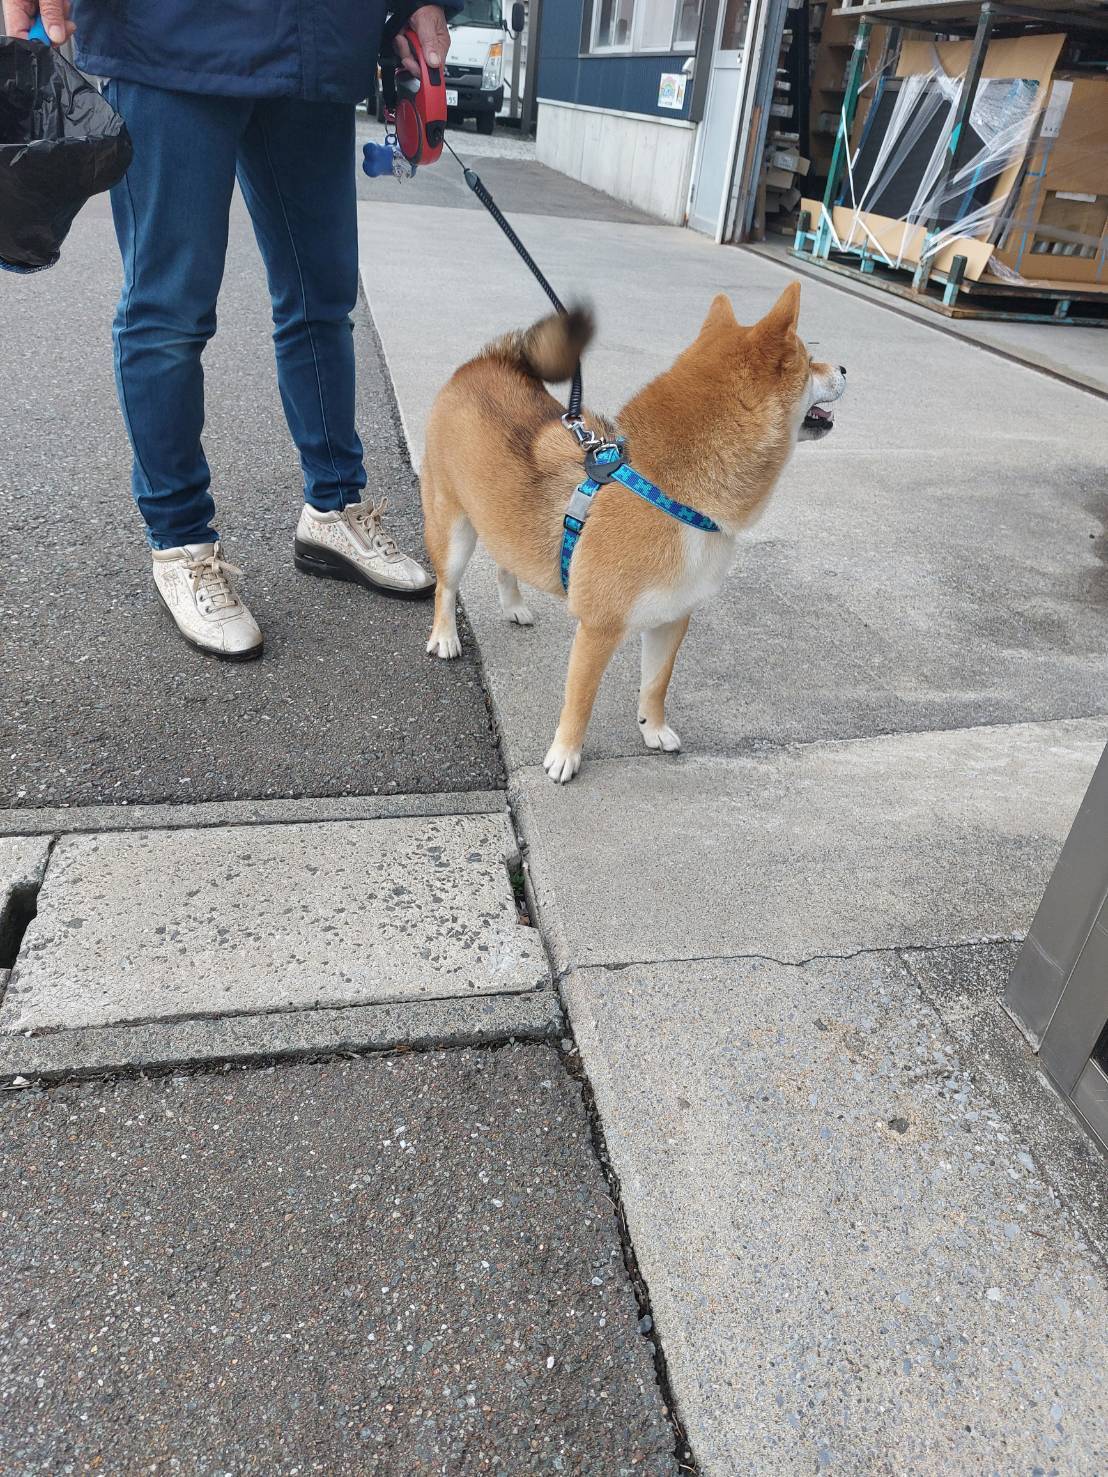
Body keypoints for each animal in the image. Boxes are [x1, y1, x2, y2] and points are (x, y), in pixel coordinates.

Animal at [419, 279, 845, 785]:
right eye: (810, 358)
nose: (843, 368)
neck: (671, 495)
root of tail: (487, 363)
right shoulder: (599, 628)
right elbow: (580, 702)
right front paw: (565, 755)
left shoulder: (672, 618)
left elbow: (655, 685)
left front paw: (653, 730)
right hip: (453, 526)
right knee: (446, 586)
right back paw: (445, 636)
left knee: (507, 558)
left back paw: (515, 605)